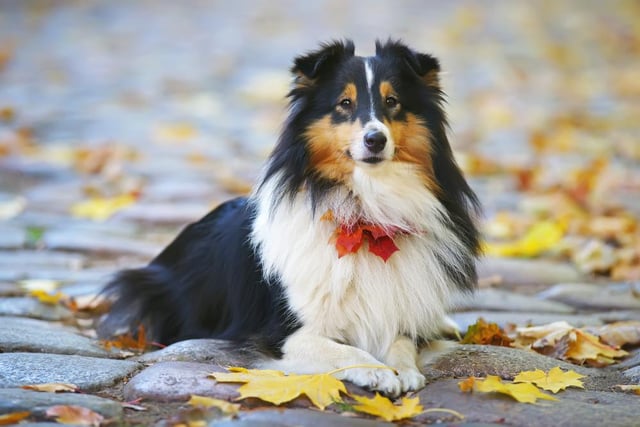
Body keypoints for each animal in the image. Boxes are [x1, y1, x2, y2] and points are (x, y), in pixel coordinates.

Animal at [100, 40, 478, 398]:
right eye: (344, 103)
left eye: (392, 101)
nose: (376, 139)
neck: (365, 216)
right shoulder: (282, 333)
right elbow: (343, 350)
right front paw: (379, 371)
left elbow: (402, 339)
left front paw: (403, 368)